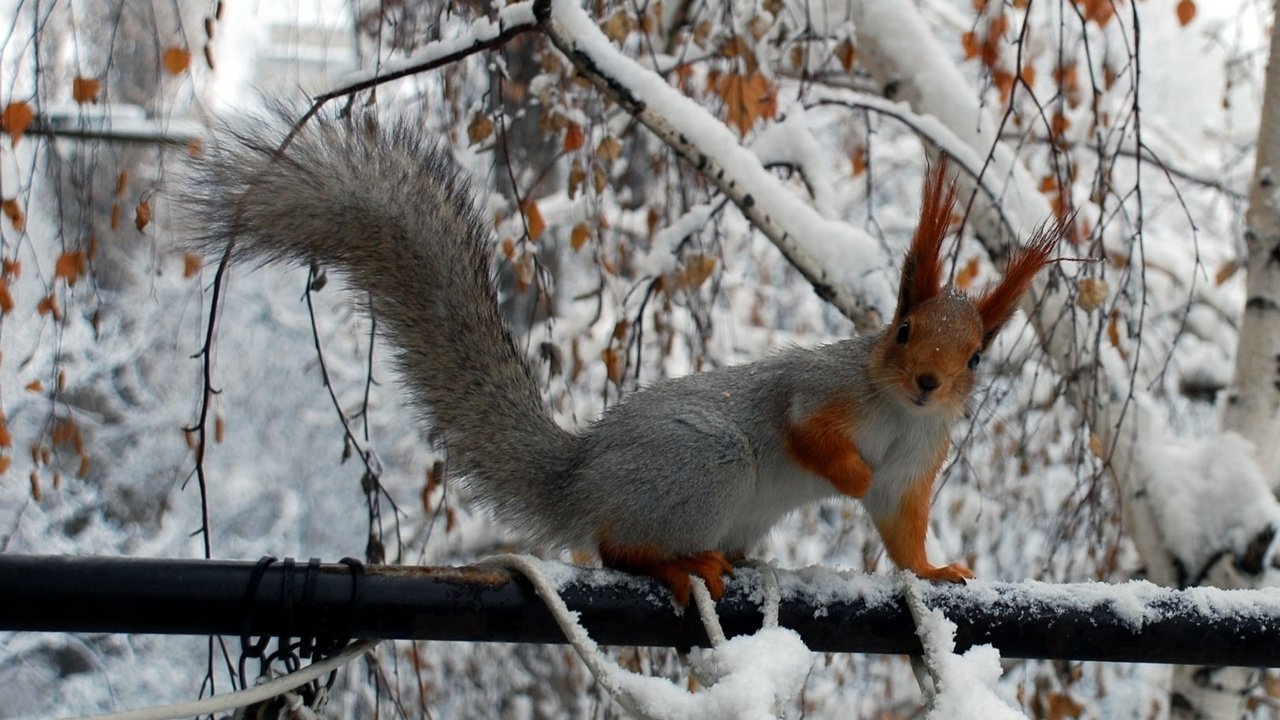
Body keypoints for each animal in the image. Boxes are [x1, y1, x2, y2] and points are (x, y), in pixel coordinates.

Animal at [183, 113, 1059, 604]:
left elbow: (900, 529)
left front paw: (934, 573)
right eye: (903, 330)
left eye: (978, 356)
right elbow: (805, 428)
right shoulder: (819, 388)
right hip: (705, 465)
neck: (895, 413)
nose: (927, 384)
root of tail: (583, 475)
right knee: (615, 547)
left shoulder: (915, 464)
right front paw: (845, 472)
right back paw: (676, 565)